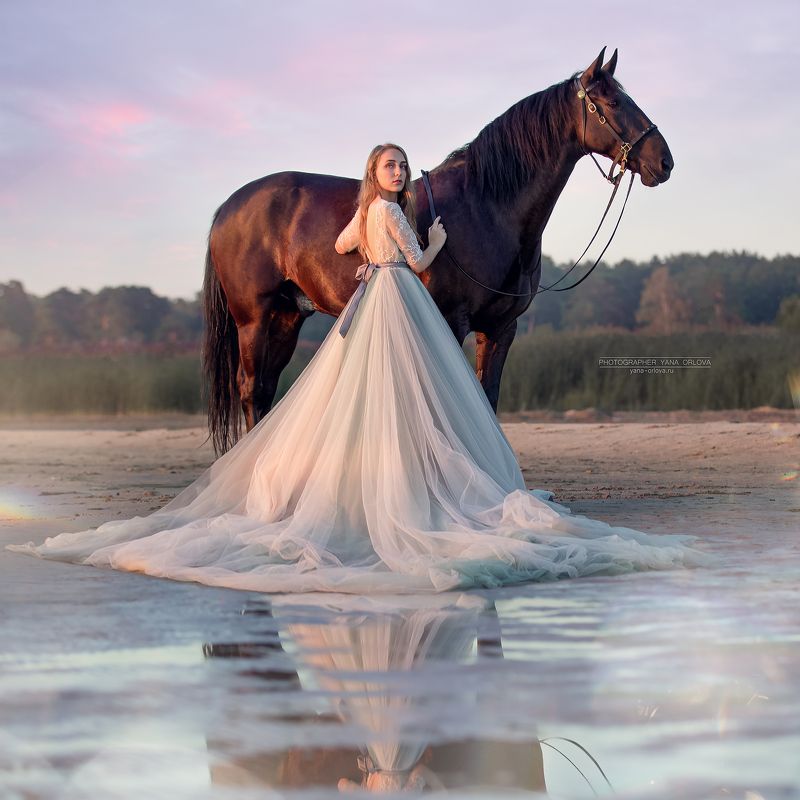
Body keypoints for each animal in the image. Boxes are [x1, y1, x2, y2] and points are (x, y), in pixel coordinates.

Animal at [202, 47, 673, 453]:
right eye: (612, 101)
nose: (664, 161)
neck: (486, 204)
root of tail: (228, 207)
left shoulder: (500, 329)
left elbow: (487, 397)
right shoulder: (451, 319)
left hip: (286, 317)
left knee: (264, 390)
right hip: (254, 319)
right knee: (251, 389)